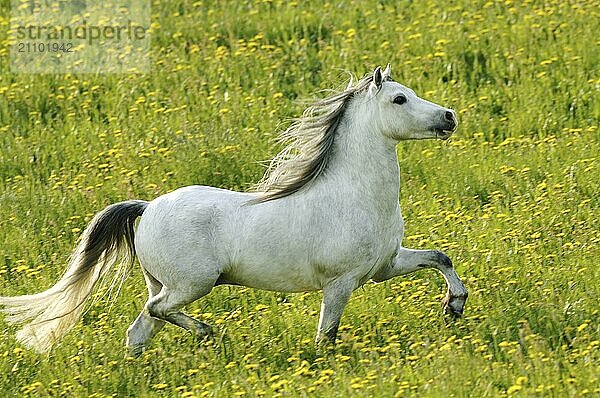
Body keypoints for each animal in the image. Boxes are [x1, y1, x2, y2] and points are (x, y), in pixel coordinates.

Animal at [0, 65, 468, 354]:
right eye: (399, 99)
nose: (449, 116)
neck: (353, 197)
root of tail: (147, 208)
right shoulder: (341, 283)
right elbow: (327, 336)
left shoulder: (386, 265)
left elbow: (440, 257)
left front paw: (455, 306)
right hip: (192, 284)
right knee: (159, 312)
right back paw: (208, 333)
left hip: (163, 284)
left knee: (139, 330)